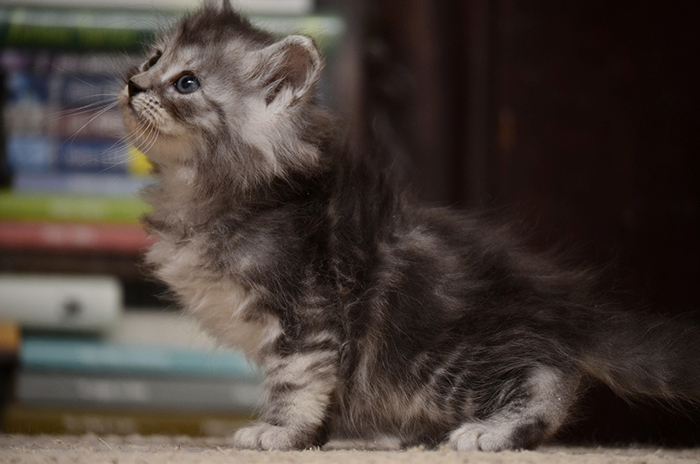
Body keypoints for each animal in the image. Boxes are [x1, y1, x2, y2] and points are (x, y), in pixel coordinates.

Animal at [118, 0, 700, 451]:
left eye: (187, 83)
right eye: (152, 59)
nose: (130, 84)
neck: (202, 191)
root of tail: (568, 307)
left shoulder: (308, 311)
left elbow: (296, 383)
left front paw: (279, 433)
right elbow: (322, 391)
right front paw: (317, 438)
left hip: (435, 358)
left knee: (550, 377)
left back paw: (490, 433)